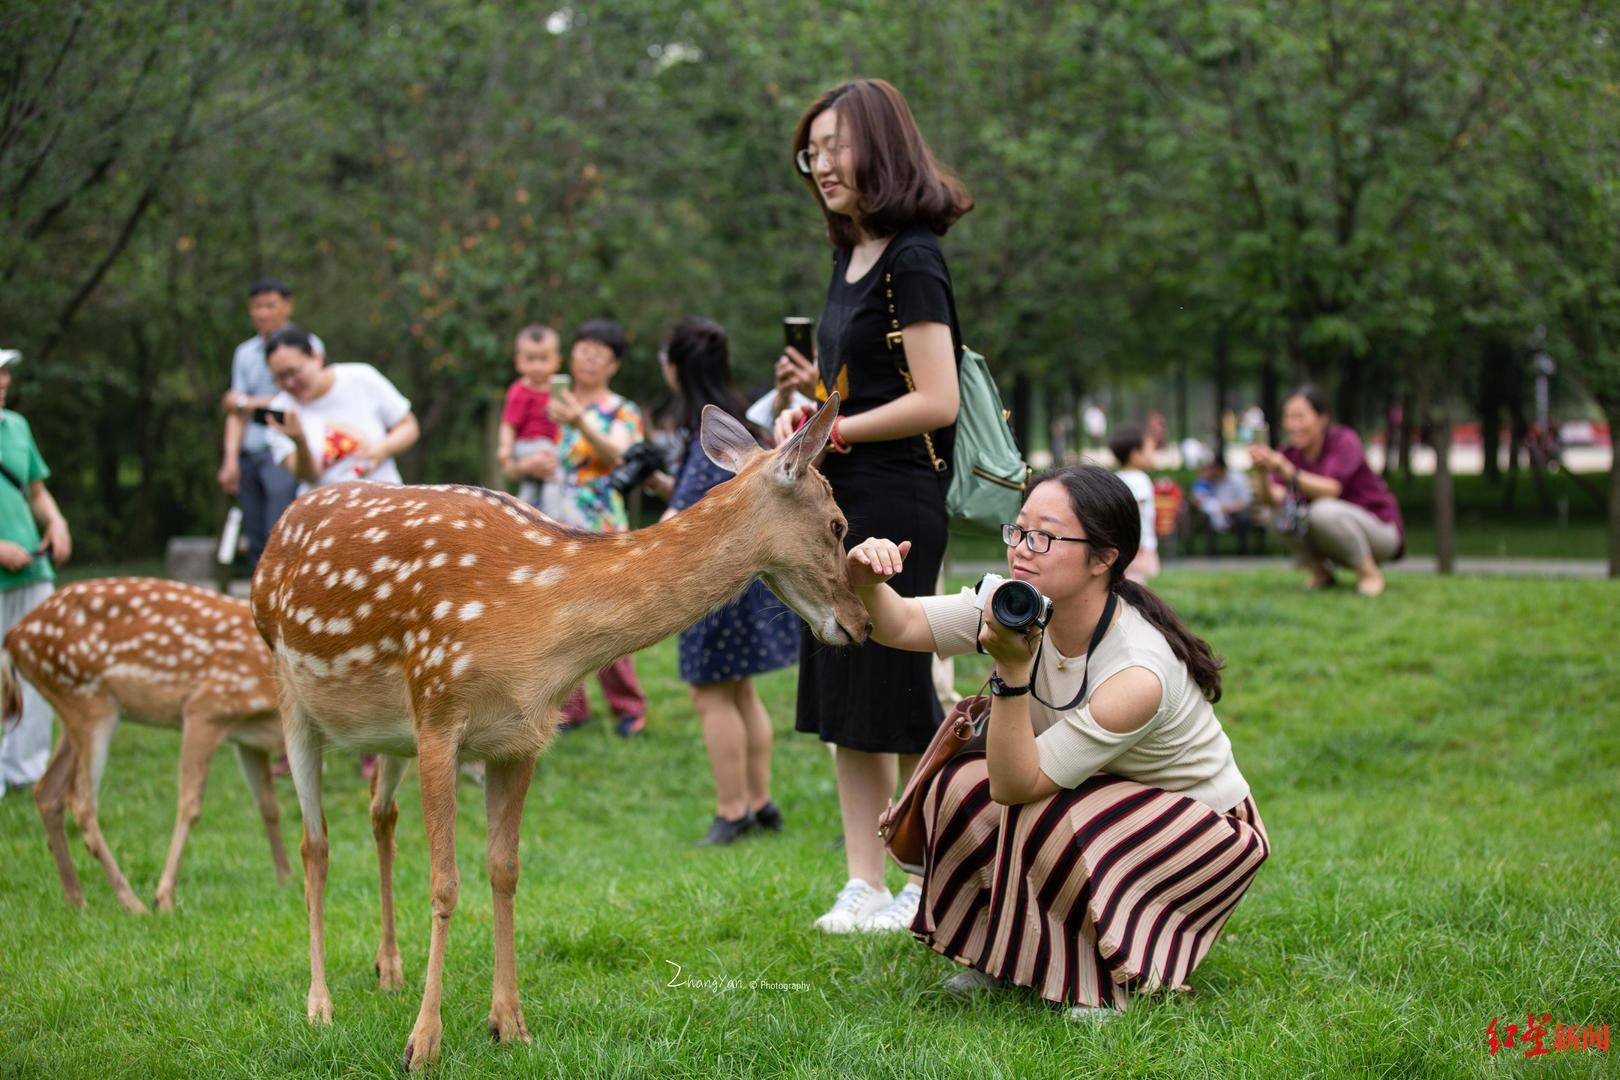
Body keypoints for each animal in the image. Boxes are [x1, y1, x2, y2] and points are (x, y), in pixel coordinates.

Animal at [0, 579, 288, 919]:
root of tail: (14, 637)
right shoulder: (206, 707)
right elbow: (189, 805)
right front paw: (163, 897)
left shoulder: (248, 737)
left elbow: (269, 806)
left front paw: (287, 880)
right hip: (89, 701)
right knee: (81, 801)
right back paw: (131, 902)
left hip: (72, 710)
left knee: (48, 791)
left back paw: (76, 899)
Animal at [246, 396, 868, 1075]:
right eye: (838, 524)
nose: (862, 623)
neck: (545, 627)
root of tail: (278, 529)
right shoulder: (439, 706)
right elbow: (444, 882)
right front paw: (423, 1044)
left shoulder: (521, 737)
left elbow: (505, 870)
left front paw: (509, 1024)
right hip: (291, 689)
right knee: (315, 844)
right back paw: (320, 1004)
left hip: (388, 730)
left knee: (380, 815)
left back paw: (389, 969)